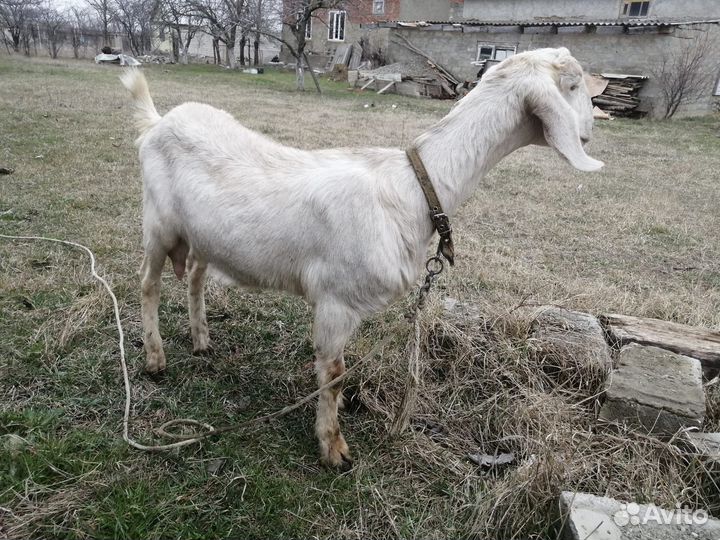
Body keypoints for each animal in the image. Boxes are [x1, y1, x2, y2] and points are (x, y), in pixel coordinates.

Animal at [121, 47, 603, 470]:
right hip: (158, 223)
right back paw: (155, 359)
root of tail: (158, 121)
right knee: (147, 282)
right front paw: (333, 448)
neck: (415, 188)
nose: (591, 128)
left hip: (201, 235)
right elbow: (335, 374)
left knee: (195, 275)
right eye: (574, 83)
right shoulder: (335, 301)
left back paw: (201, 339)